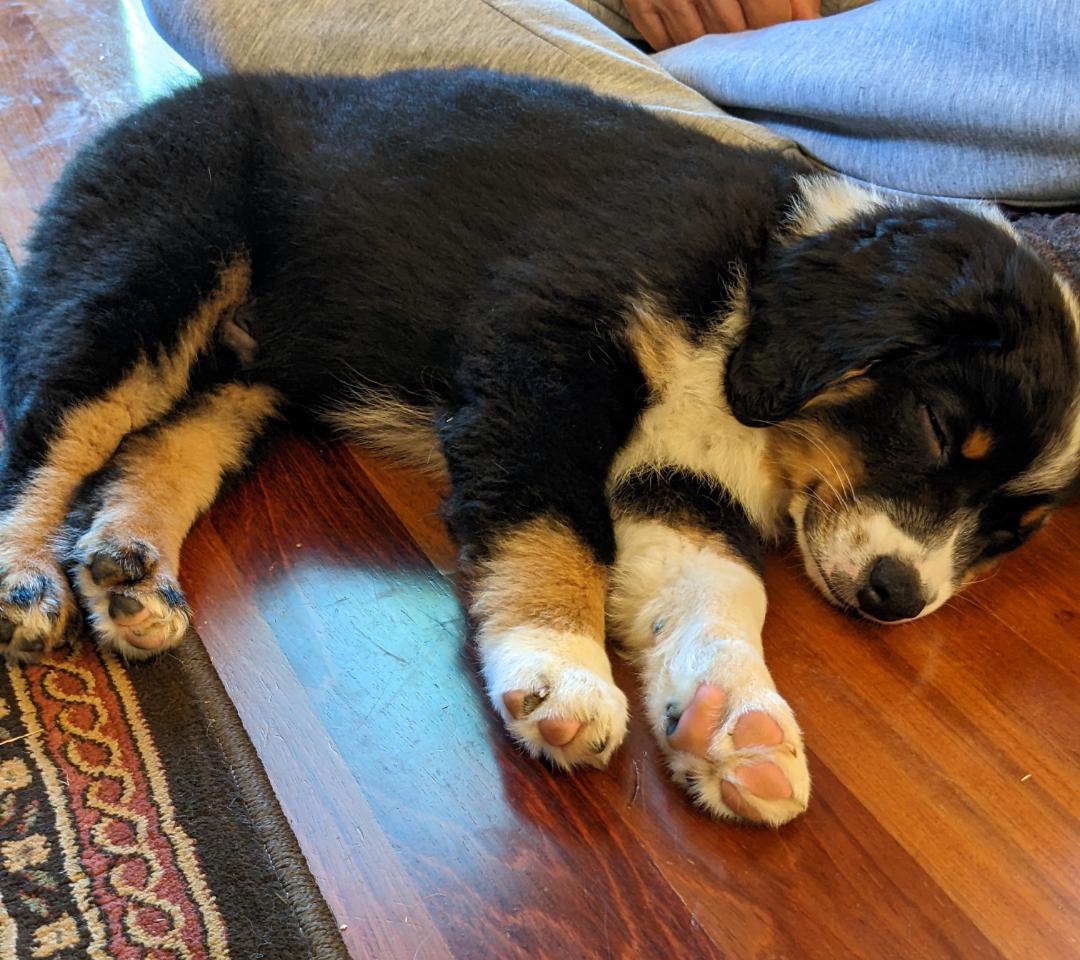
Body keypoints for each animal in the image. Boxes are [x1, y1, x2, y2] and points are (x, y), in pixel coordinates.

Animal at [1, 70, 1077, 826]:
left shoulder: (675, 480)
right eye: (938, 429)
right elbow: (555, 530)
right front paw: (561, 672)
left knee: (160, 450)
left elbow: (722, 592)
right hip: (157, 267)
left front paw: (736, 725)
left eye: (1011, 532)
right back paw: (25, 580)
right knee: (49, 427)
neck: (747, 288)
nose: (899, 599)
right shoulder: (545, 351)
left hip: (249, 374)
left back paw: (128, 571)